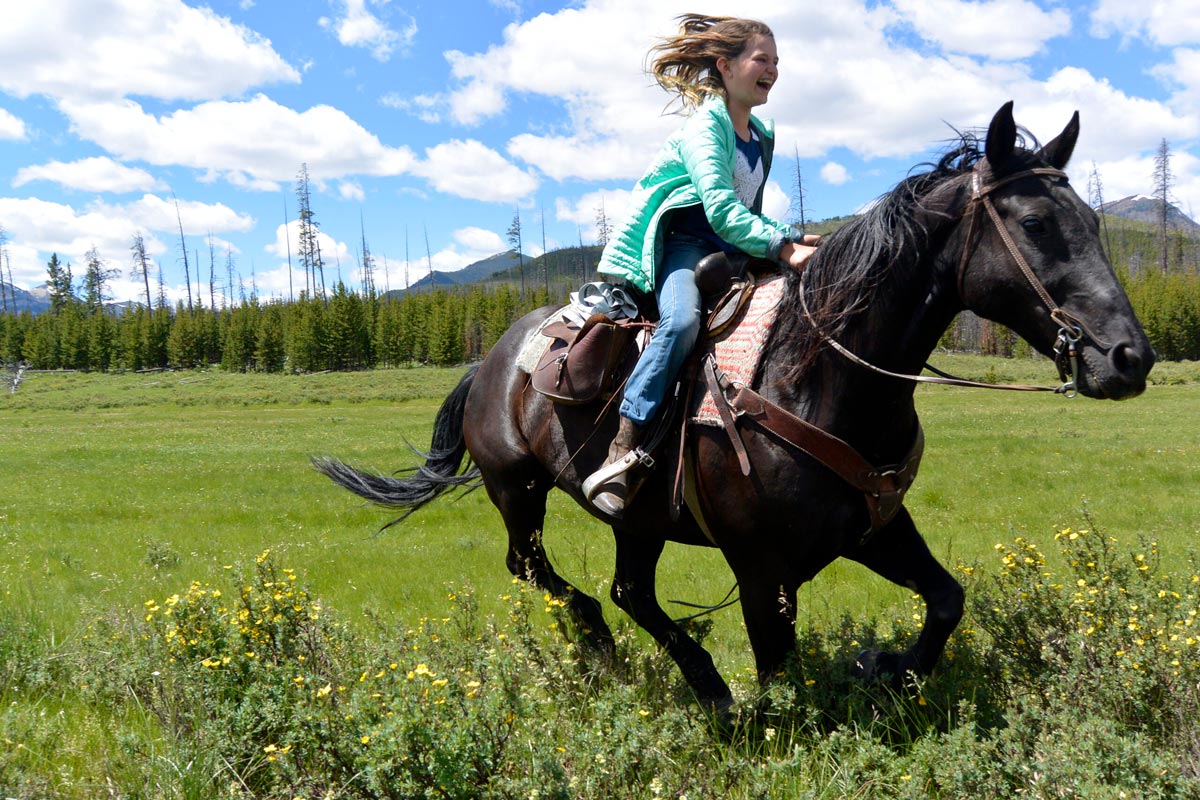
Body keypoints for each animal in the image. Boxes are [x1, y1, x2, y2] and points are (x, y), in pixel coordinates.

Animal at [316, 103, 1152, 710]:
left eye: (1097, 224)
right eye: (1035, 224)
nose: (1129, 358)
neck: (824, 376)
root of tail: (492, 360)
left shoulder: (875, 522)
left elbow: (946, 600)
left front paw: (883, 668)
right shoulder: (760, 567)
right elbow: (780, 676)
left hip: (637, 518)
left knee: (631, 591)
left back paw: (704, 685)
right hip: (516, 489)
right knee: (538, 571)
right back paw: (607, 647)